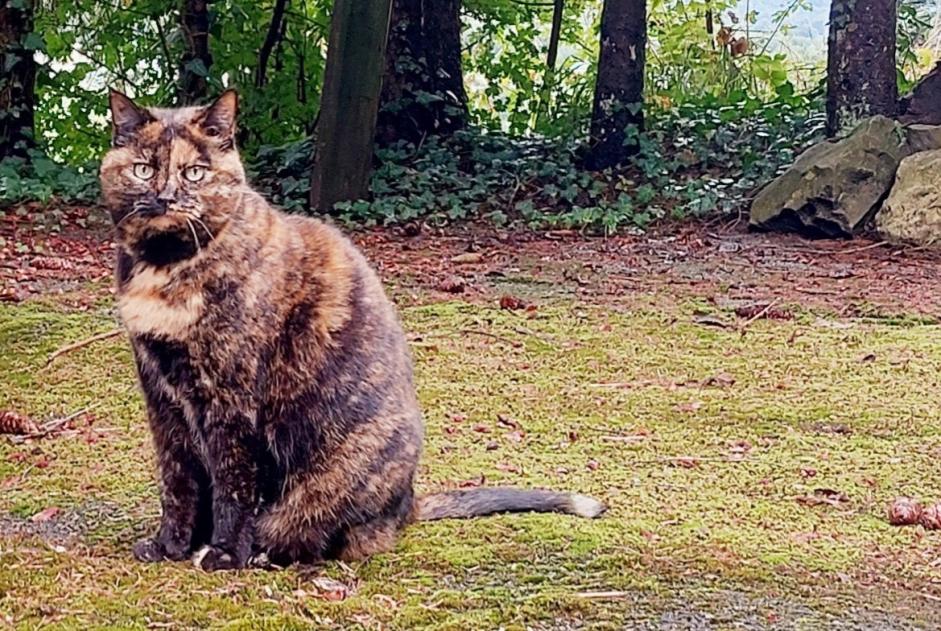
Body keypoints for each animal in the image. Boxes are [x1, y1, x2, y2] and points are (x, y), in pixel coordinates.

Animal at [101, 92, 604, 572]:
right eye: (144, 169)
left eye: (195, 172)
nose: (167, 196)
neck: (166, 268)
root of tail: (407, 505)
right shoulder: (163, 401)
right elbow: (178, 481)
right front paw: (169, 545)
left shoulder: (231, 402)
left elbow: (233, 485)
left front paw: (223, 553)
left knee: (330, 534)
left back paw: (265, 552)